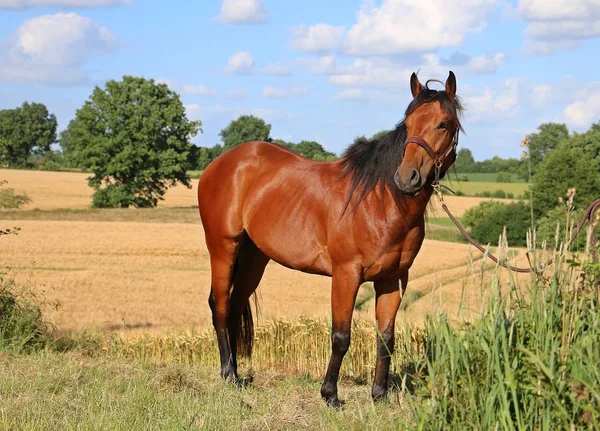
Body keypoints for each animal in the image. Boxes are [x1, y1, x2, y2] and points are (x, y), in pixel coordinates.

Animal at [197, 71, 464, 408]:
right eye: (409, 122)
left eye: (443, 123)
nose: (408, 178)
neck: (380, 201)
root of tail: (220, 164)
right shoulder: (346, 274)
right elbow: (341, 336)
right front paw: (330, 395)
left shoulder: (393, 280)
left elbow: (386, 338)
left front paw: (379, 394)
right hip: (223, 247)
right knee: (219, 305)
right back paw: (229, 375)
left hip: (254, 257)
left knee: (233, 306)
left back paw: (235, 372)